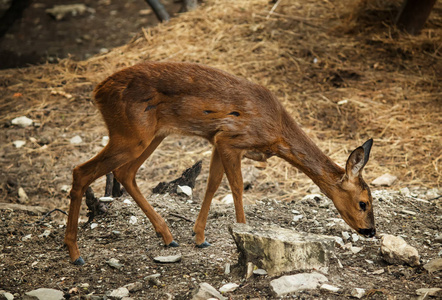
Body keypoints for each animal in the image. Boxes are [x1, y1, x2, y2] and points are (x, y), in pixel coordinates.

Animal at [64, 61, 374, 264]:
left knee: (124, 172)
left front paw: (199, 237)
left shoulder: (217, 140)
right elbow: (236, 187)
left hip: (152, 135)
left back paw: (167, 235)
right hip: (130, 134)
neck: (277, 132)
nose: (370, 231)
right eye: (363, 203)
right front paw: (245, 234)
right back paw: (75, 253)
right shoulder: (230, 139)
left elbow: (212, 184)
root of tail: (98, 92)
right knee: (81, 171)